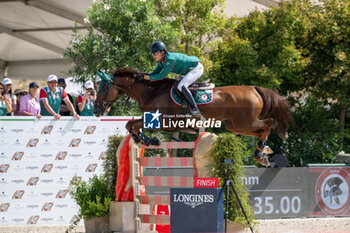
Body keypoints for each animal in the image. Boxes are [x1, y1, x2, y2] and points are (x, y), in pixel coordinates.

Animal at [94, 66, 292, 167]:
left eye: (103, 88)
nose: (96, 110)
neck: (151, 91)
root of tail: (253, 88)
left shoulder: (166, 122)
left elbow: (134, 124)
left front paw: (150, 140)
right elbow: (130, 124)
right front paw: (143, 139)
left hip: (244, 122)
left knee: (269, 124)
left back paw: (260, 153)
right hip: (236, 125)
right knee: (262, 129)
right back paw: (263, 153)